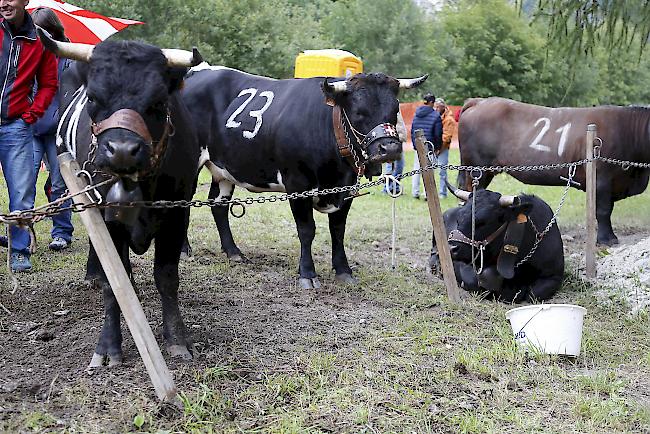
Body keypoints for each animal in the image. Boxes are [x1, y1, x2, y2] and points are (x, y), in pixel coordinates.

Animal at [39, 28, 201, 364]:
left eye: (158, 102)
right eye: (93, 98)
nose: (123, 150)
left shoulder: (178, 211)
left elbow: (167, 276)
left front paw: (177, 339)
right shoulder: (106, 216)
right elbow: (115, 279)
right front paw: (108, 345)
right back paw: (94, 274)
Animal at [181, 64, 426, 288]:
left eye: (395, 110)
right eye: (359, 112)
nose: (390, 148)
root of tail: (199, 71)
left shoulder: (346, 189)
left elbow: (338, 230)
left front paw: (343, 270)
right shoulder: (298, 184)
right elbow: (307, 230)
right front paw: (307, 273)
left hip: (223, 168)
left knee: (218, 205)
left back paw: (233, 251)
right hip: (189, 162)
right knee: (183, 202)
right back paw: (185, 249)